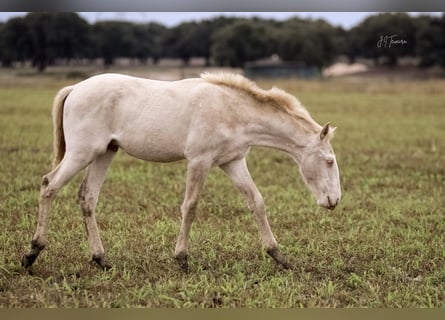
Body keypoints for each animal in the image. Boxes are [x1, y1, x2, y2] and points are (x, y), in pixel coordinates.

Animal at [21, 72, 340, 270]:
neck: (231, 110)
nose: (334, 201)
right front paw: (182, 258)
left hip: (104, 153)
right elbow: (191, 206)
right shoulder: (199, 161)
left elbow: (256, 202)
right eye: (329, 161)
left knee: (87, 198)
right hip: (82, 153)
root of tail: (75, 89)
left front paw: (278, 255)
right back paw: (32, 253)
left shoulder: (233, 162)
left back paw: (101, 259)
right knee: (49, 185)